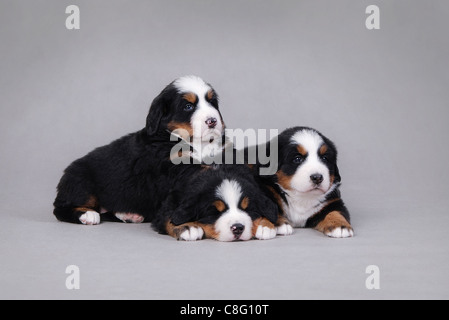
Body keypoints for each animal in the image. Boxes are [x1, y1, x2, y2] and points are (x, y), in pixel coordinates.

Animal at [53, 75, 226, 225]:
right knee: (60, 209)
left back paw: (129, 215)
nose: (212, 121)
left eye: (212, 102)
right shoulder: (171, 166)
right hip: (80, 181)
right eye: (188, 106)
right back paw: (88, 215)